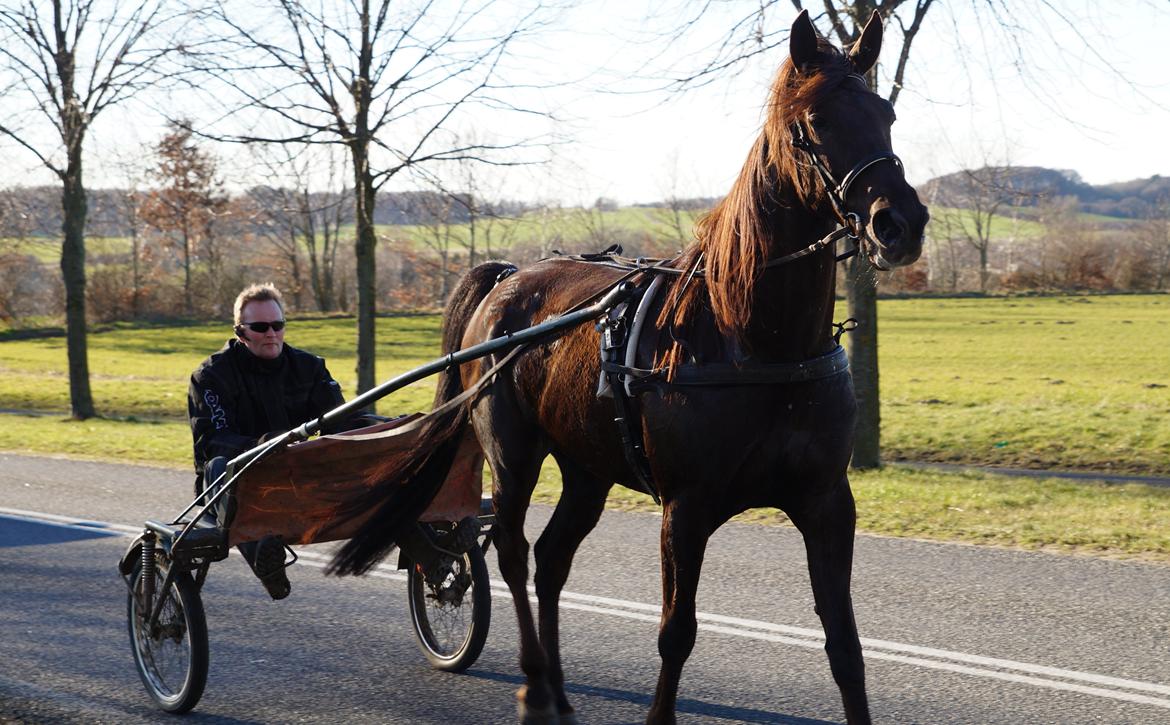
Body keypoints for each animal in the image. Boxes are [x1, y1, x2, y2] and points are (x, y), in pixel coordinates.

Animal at [334, 11, 926, 725]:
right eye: (814, 122)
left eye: (886, 113)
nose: (899, 223)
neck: (754, 342)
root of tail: (508, 279)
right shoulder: (687, 505)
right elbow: (677, 632)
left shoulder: (827, 501)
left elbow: (844, 644)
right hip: (513, 454)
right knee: (511, 553)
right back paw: (534, 685)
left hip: (588, 466)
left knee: (551, 559)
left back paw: (559, 691)